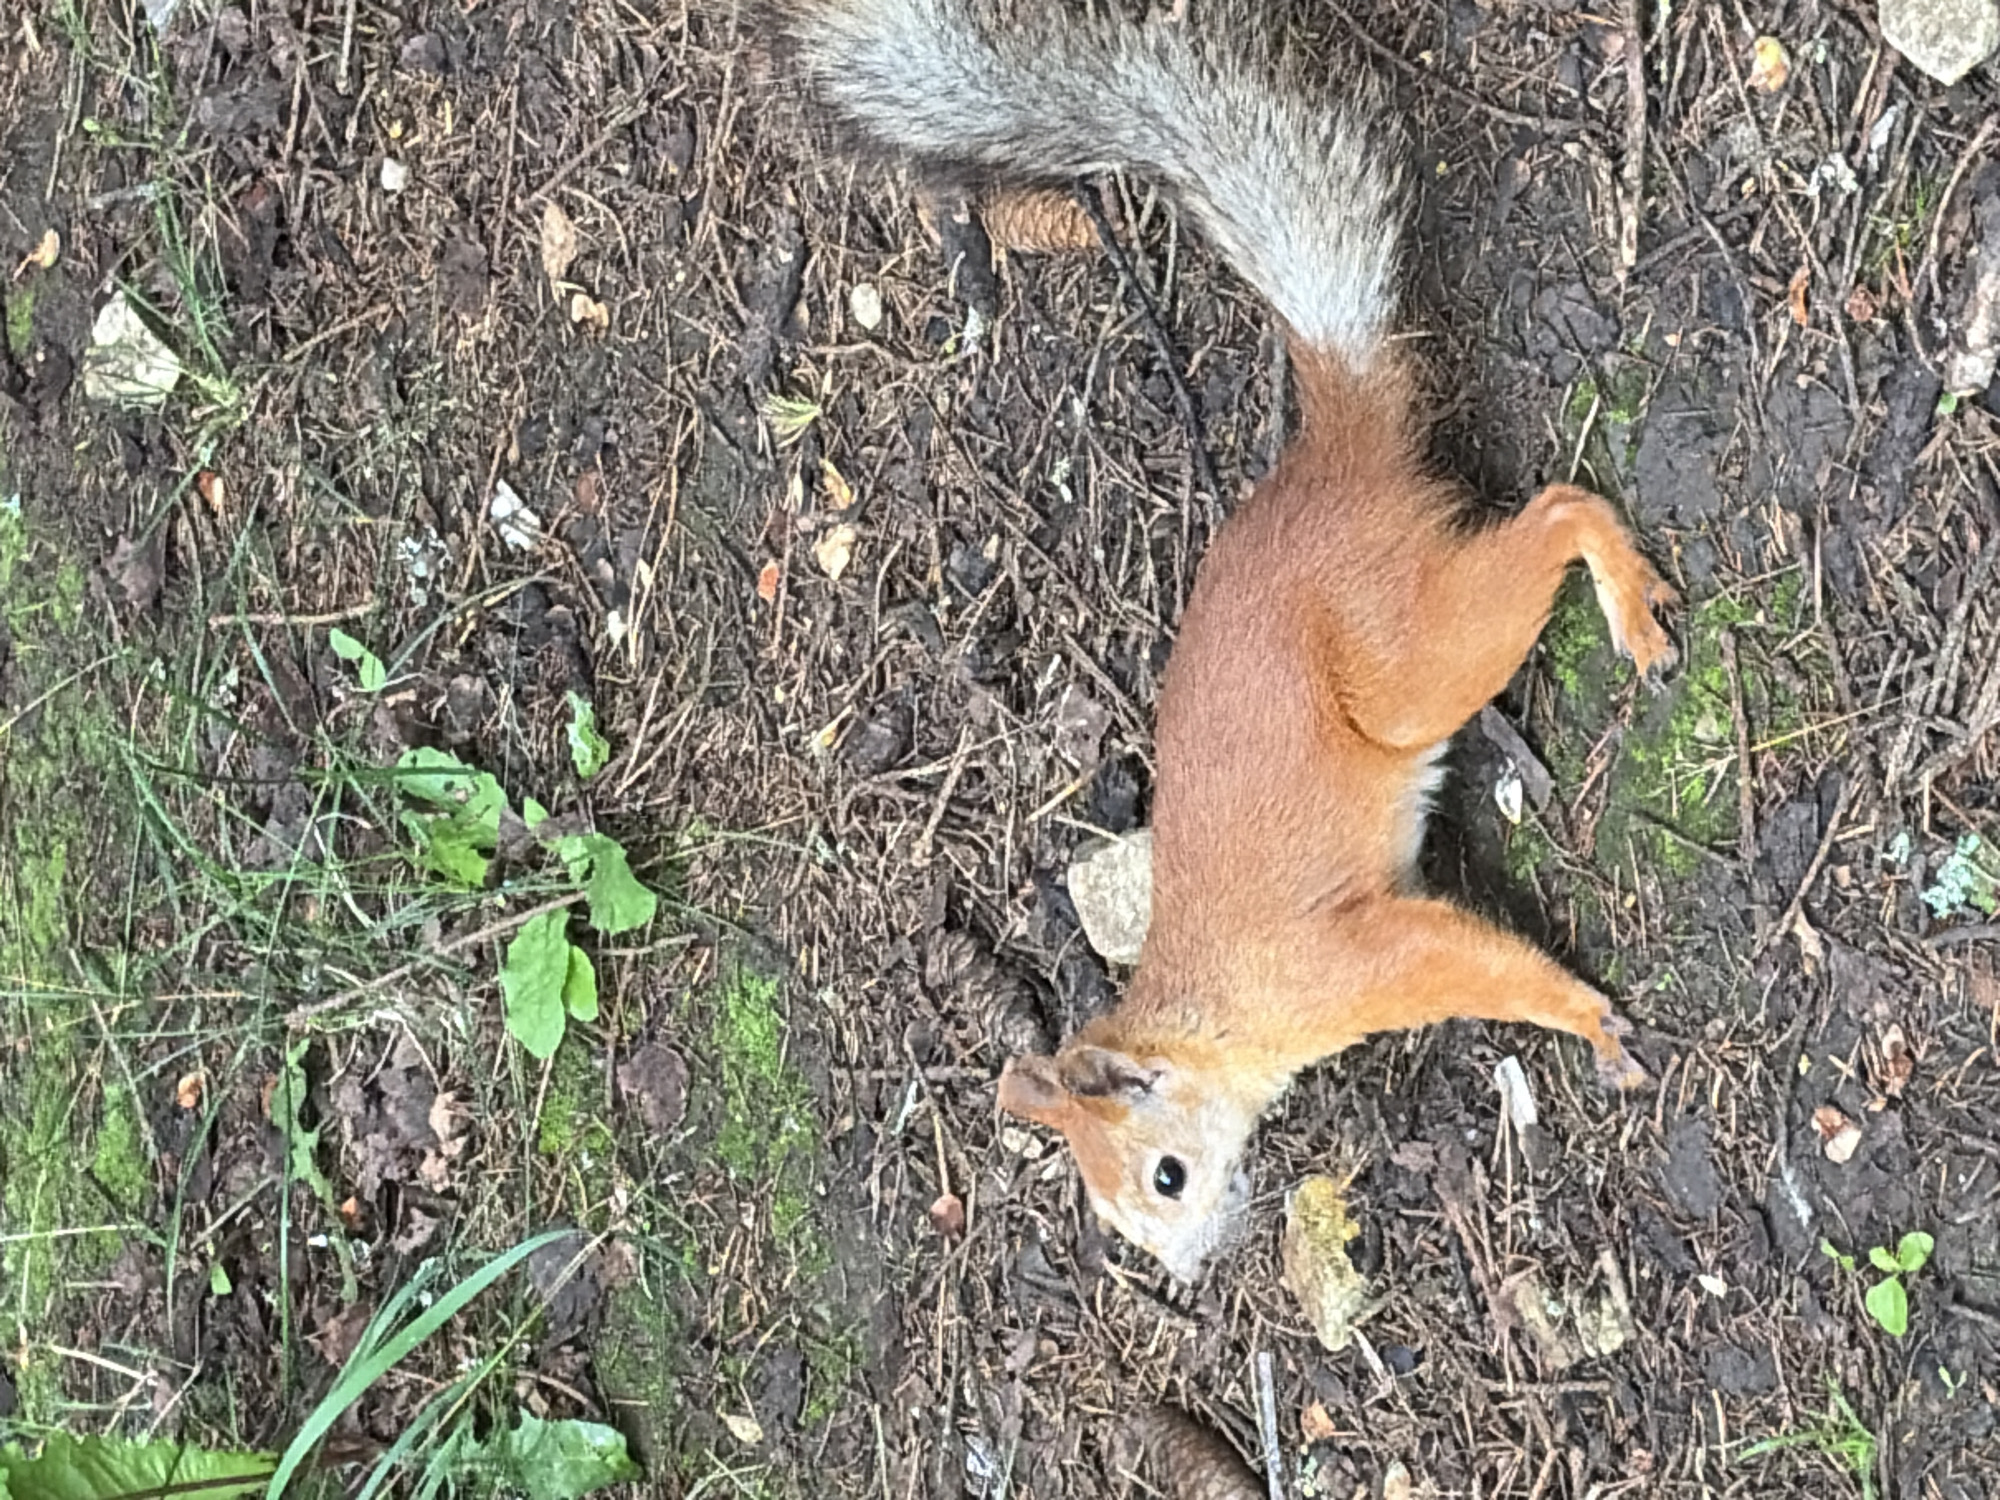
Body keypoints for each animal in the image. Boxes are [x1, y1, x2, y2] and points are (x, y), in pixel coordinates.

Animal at [778, 0, 1677, 1280]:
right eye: (1120, 1222)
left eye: (1165, 1174)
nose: (1190, 1273)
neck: (1213, 1013)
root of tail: (1323, 457)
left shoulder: (1348, 963)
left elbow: (1471, 962)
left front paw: (1582, 1018)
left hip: (1404, 651)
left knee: (1553, 512)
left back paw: (1625, 600)